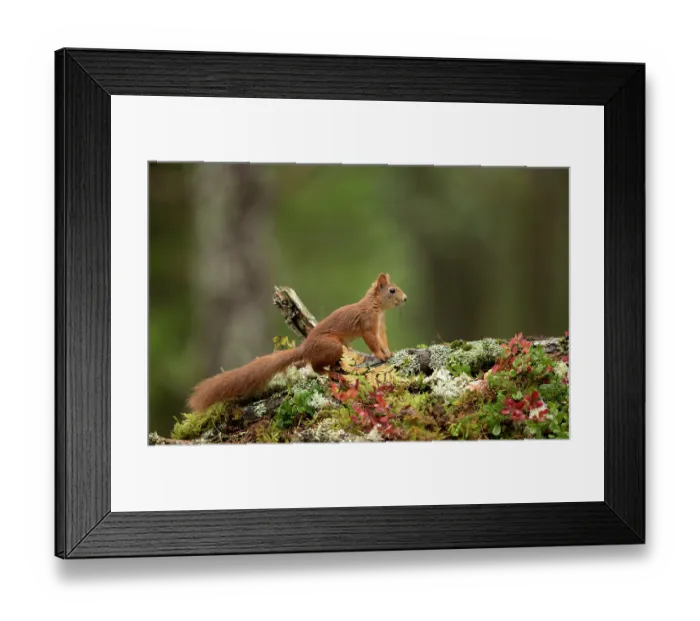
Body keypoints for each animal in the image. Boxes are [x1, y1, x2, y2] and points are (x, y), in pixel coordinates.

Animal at [187, 273, 407, 413]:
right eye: (392, 290)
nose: (405, 298)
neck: (376, 307)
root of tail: (305, 348)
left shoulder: (380, 327)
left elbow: (383, 341)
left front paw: (388, 353)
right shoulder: (368, 325)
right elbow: (372, 342)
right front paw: (380, 356)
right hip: (333, 346)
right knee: (316, 367)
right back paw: (331, 373)